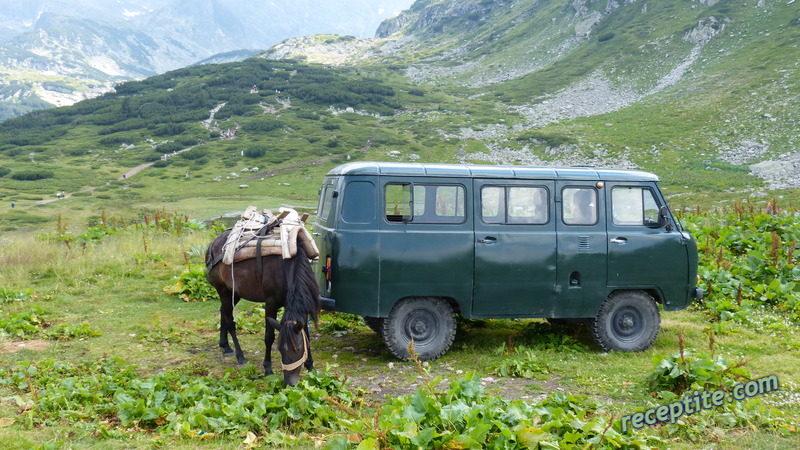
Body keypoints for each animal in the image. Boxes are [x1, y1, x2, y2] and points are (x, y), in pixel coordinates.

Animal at [205, 229, 320, 386]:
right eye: (280, 349)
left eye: (297, 349)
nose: (289, 383)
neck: (288, 266)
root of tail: (212, 244)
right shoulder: (271, 303)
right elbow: (269, 336)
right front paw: (268, 369)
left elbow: (306, 334)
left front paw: (310, 366)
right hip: (222, 290)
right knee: (230, 321)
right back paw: (240, 355)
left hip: (234, 292)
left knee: (223, 312)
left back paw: (226, 347)